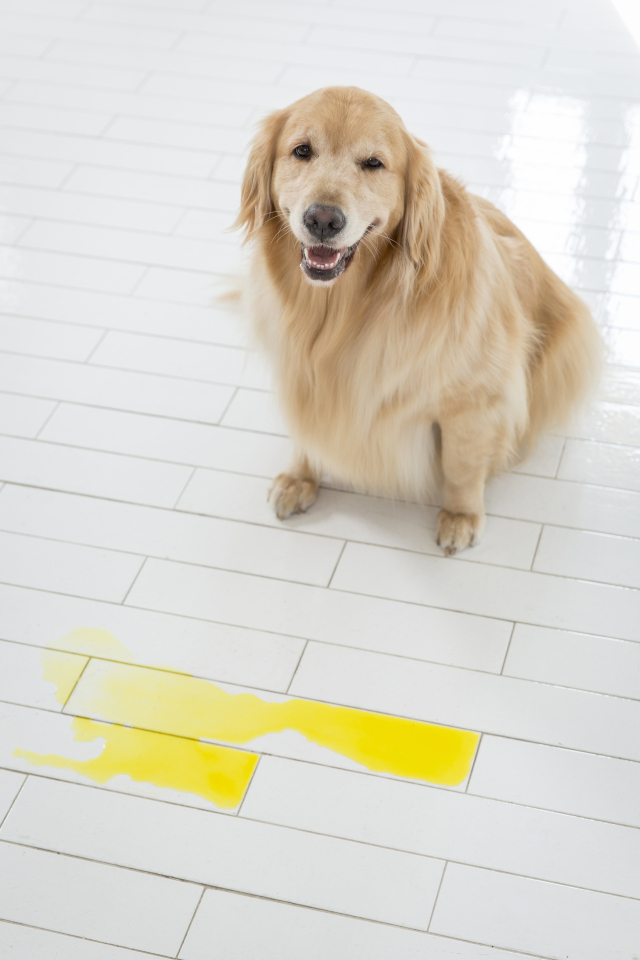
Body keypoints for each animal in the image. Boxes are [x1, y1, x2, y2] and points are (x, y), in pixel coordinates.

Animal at [234, 90, 600, 560]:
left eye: (374, 163)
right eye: (301, 151)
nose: (322, 220)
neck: (342, 311)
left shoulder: (474, 399)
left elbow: (462, 463)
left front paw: (461, 515)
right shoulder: (299, 371)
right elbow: (307, 425)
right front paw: (301, 477)